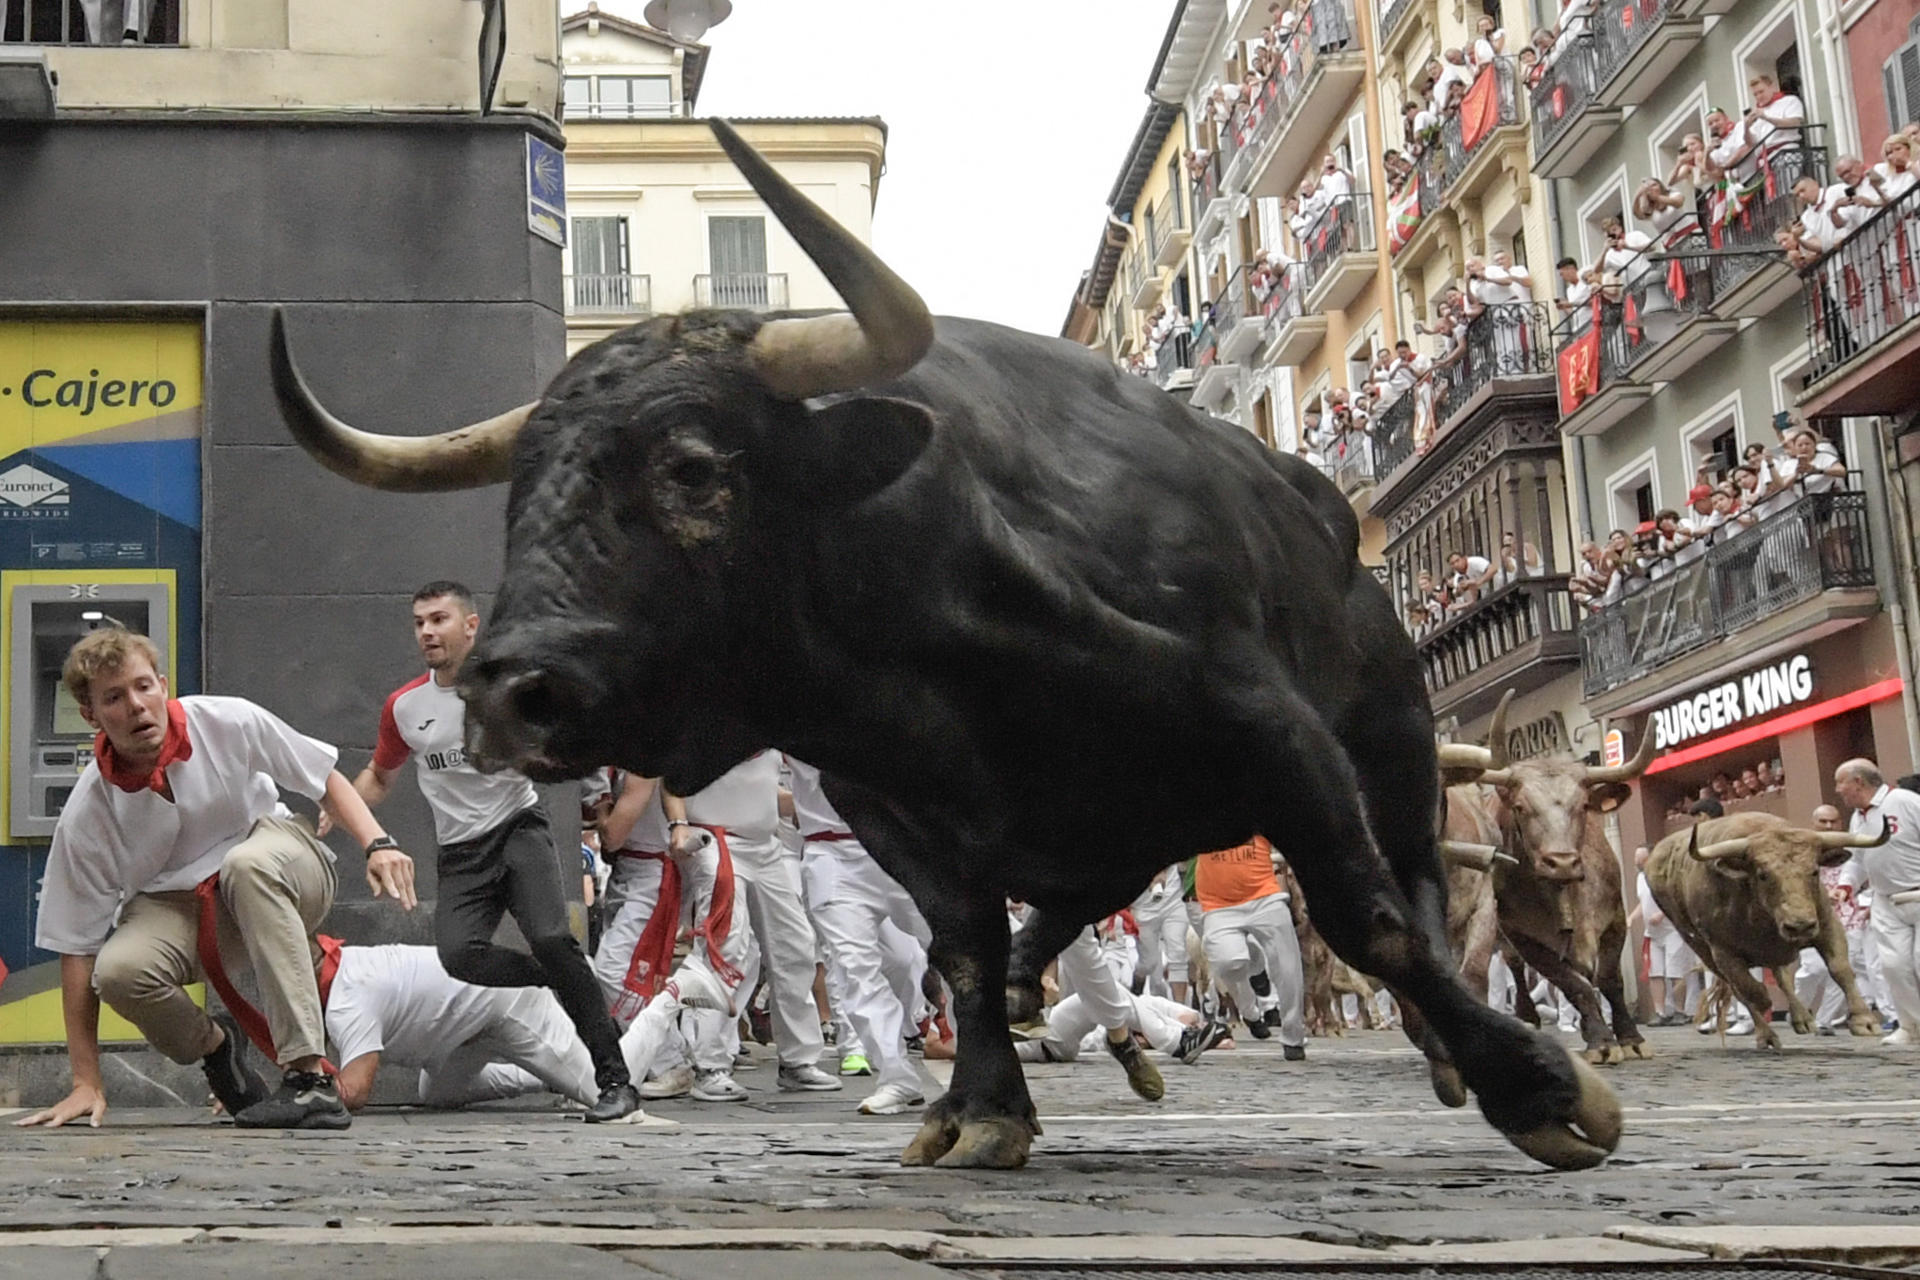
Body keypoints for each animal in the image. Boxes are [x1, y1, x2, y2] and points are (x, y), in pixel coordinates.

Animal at [270, 119, 1620, 1174]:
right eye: (520, 494)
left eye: (693, 469)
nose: (512, 687)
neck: (931, 647)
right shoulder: (894, 803)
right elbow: (962, 949)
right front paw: (980, 1106)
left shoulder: (1272, 730)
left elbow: (1367, 912)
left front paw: (1544, 1089)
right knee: (1068, 912)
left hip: (1391, 726)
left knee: (1418, 881)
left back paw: (1449, 1046)